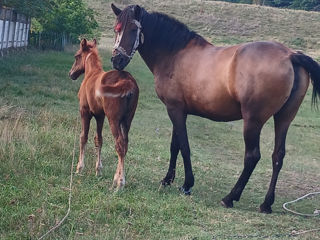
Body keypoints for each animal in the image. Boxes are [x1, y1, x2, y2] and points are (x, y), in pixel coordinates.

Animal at [69, 39, 139, 189]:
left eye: (76, 56)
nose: (71, 74)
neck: (91, 74)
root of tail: (128, 82)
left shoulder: (85, 111)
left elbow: (83, 137)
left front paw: (79, 168)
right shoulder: (100, 115)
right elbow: (98, 139)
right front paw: (98, 170)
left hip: (114, 120)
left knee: (119, 145)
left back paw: (119, 182)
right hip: (127, 120)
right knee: (125, 144)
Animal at [110, 4, 320, 213]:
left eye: (133, 29)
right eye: (116, 29)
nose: (116, 60)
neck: (175, 54)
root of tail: (289, 55)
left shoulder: (175, 110)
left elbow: (184, 147)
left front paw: (187, 184)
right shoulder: (179, 110)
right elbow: (174, 146)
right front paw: (168, 179)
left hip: (253, 120)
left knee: (252, 156)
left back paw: (230, 197)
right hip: (284, 118)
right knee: (278, 156)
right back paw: (266, 204)